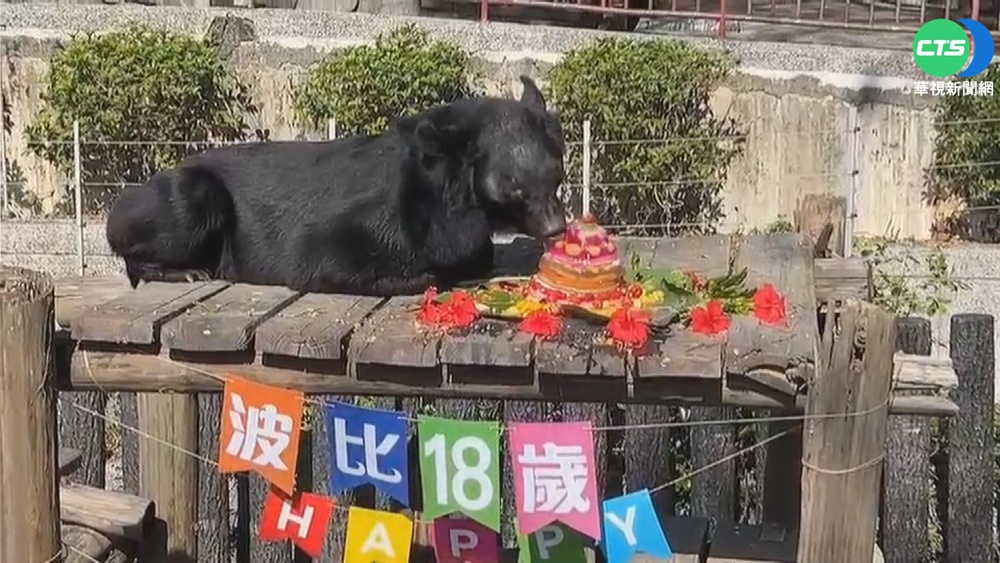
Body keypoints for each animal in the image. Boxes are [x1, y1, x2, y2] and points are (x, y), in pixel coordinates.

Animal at [105, 76, 568, 297]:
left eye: (558, 176)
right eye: (514, 187)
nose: (557, 228)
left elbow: (476, 251)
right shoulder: (380, 217)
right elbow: (324, 256)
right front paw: (423, 274)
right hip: (181, 198)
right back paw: (184, 271)